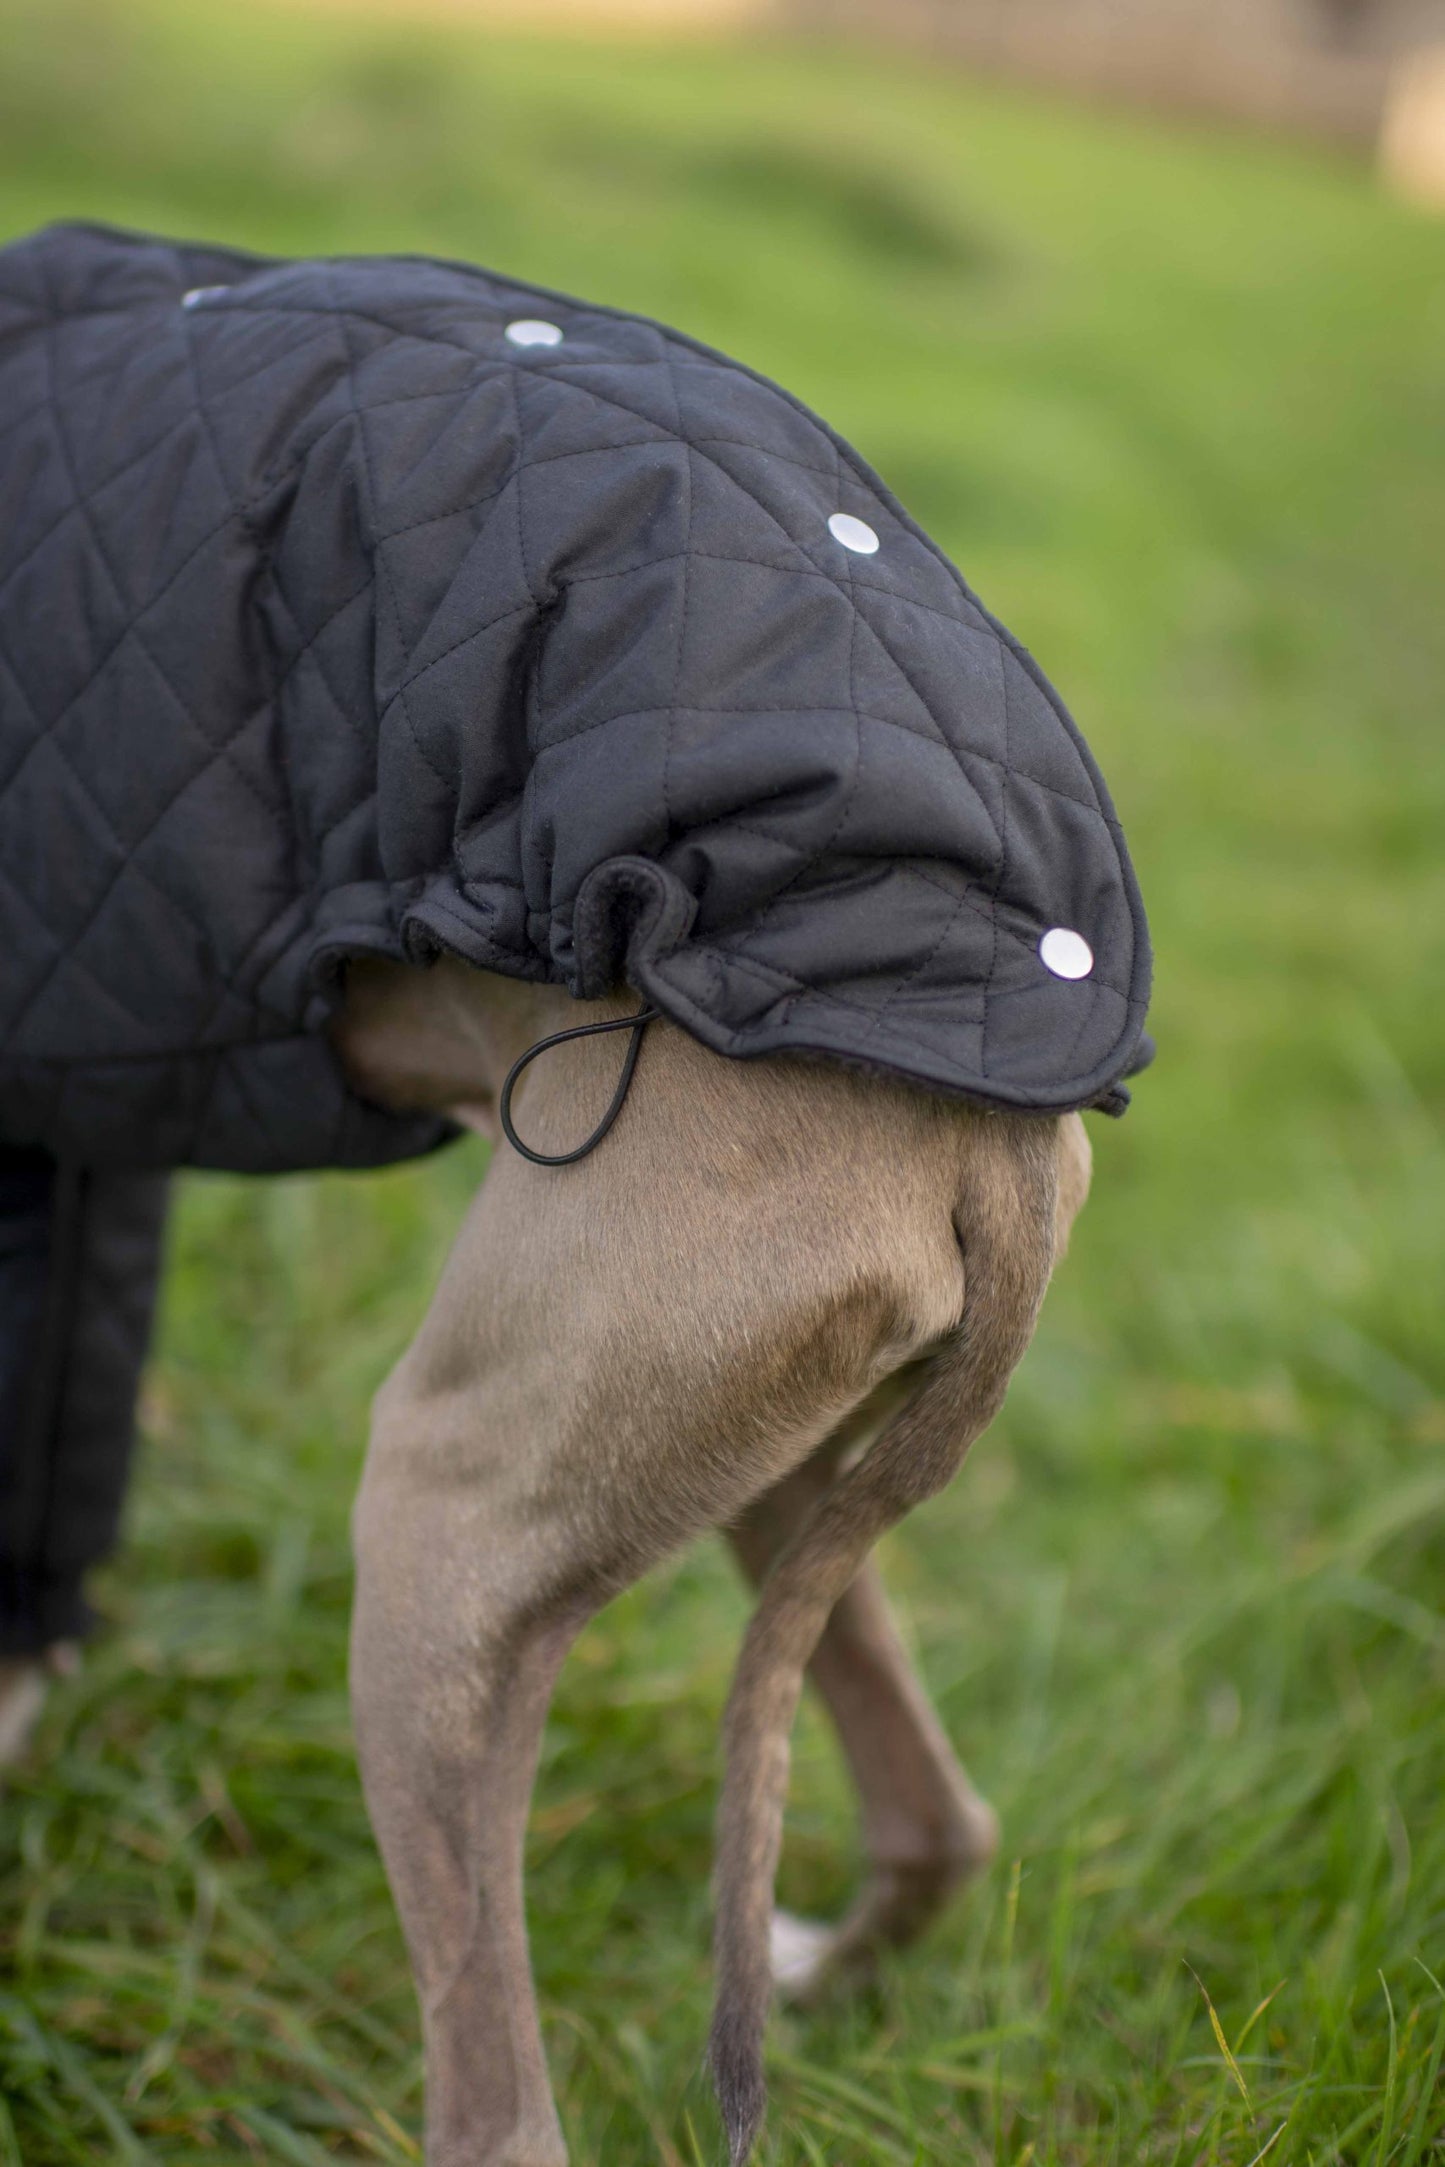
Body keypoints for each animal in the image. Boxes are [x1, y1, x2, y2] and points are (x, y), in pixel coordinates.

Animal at [333, 966, 1091, 2167]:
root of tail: (998, 1148)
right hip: (775, 1480)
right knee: (939, 1819)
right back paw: (814, 1980)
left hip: (445, 1522)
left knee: (507, 2119)